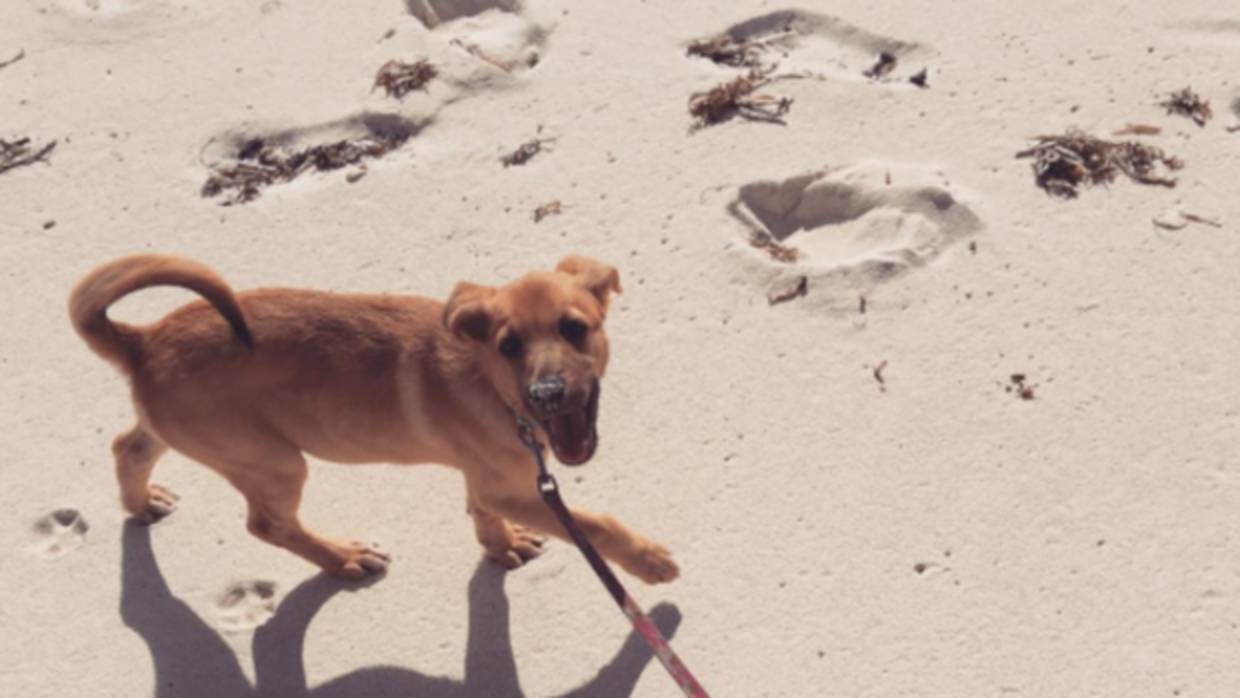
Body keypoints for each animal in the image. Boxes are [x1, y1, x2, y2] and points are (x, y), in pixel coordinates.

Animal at [70, 256, 679, 585]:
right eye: (509, 346)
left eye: (575, 328)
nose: (547, 394)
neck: (490, 384)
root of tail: (143, 341)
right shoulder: (513, 487)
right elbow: (595, 524)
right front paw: (649, 561)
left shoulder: (489, 479)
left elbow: (480, 511)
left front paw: (500, 547)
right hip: (272, 461)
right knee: (267, 525)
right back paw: (343, 558)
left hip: (186, 431)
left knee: (128, 446)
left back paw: (141, 503)